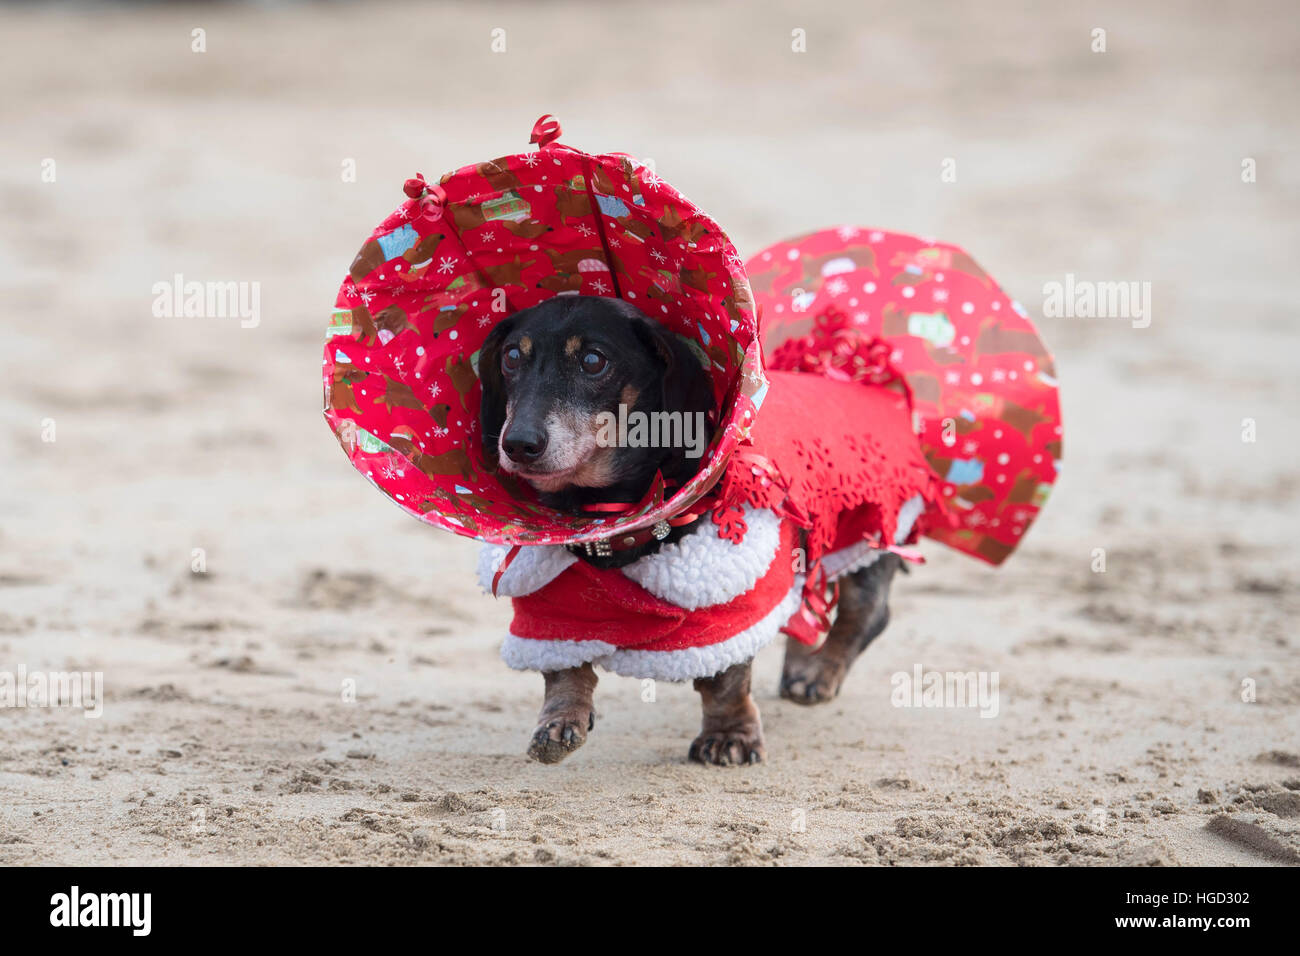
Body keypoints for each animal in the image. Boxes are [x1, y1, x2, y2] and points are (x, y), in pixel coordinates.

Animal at [478, 295, 904, 764]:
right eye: (511, 357)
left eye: (593, 360)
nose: (518, 444)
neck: (607, 507)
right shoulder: (554, 597)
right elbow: (562, 665)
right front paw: (559, 721)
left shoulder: (732, 592)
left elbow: (725, 679)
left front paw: (730, 735)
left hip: (866, 534)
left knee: (866, 612)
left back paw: (818, 674)